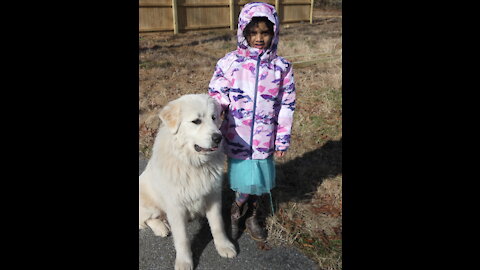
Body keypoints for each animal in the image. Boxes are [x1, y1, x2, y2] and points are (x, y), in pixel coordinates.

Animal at [139, 94, 236, 268]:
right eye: (196, 121)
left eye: (214, 118)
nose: (218, 138)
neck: (193, 164)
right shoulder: (175, 206)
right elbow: (182, 239)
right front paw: (184, 262)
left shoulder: (213, 197)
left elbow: (218, 225)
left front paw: (223, 246)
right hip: (150, 204)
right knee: (146, 219)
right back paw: (161, 228)